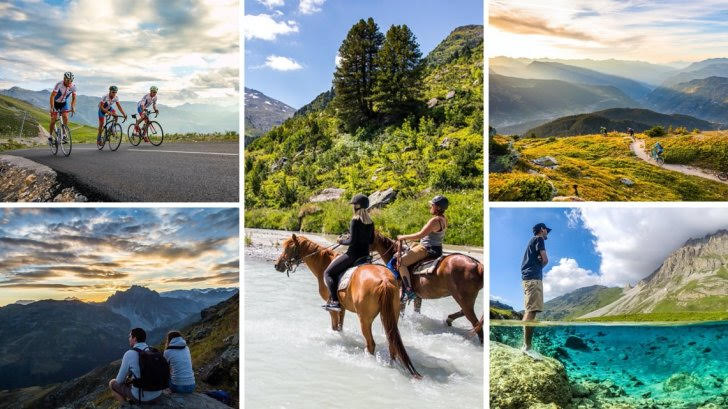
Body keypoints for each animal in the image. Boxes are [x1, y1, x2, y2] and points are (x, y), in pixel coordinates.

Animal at [272, 234, 420, 378]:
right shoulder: (342, 308)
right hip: (391, 316)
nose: (277, 265)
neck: (324, 263)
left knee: (371, 344)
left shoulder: (332, 309)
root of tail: (384, 281)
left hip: (365, 320)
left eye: (288, 248)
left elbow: (334, 326)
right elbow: (340, 326)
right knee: (392, 344)